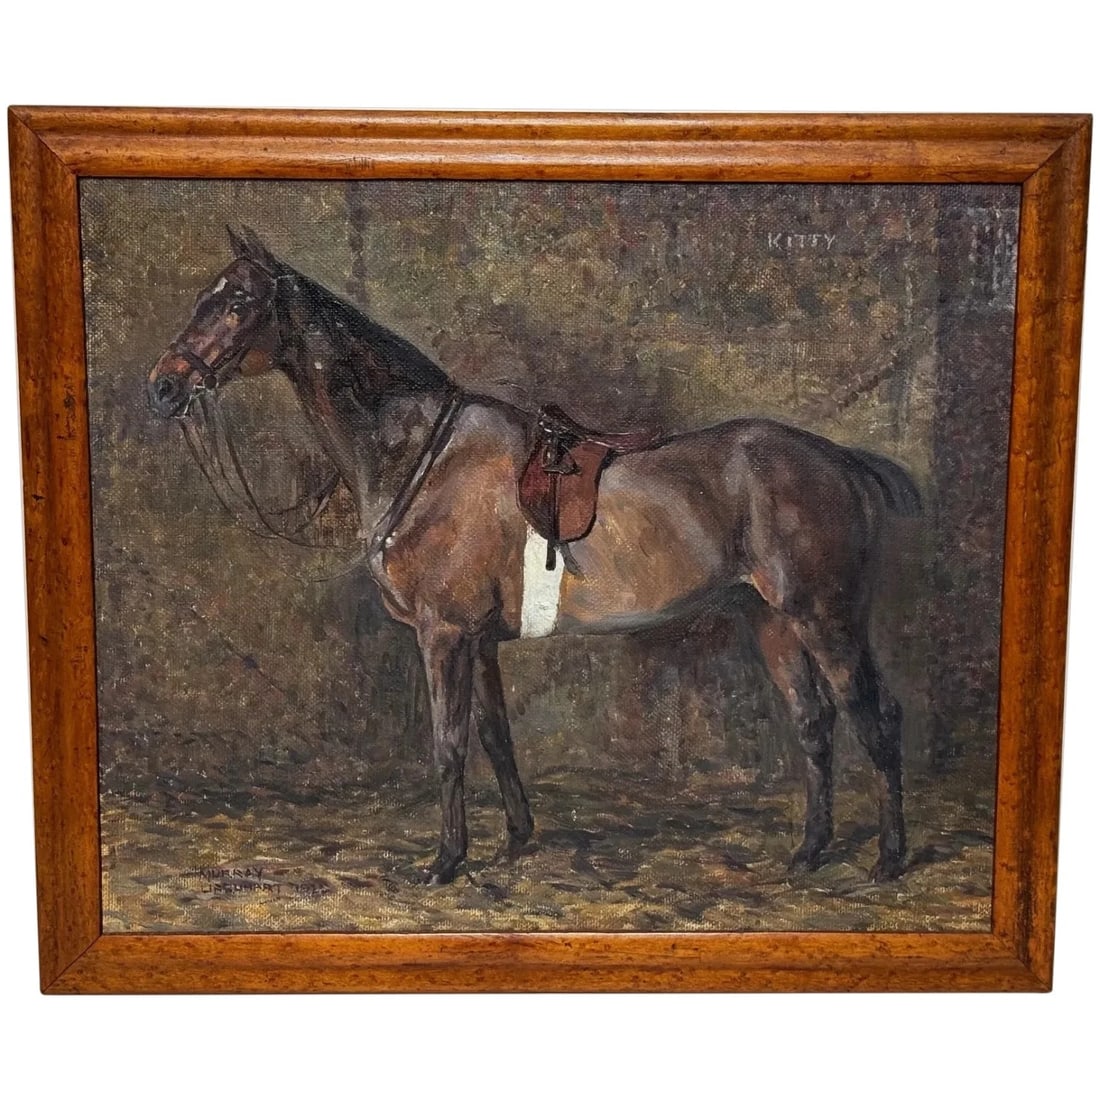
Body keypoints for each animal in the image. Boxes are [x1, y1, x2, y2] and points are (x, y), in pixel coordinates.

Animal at [146, 227, 922, 884]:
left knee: (874, 719)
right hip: (772, 620)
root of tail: (842, 461)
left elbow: (449, 744)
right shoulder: (480, 640)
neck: (422, 456)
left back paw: (888, 859)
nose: (163, 384)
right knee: (814, 726)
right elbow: (495, 736)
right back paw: (809, 853)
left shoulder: (444, 635)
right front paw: (517, 838)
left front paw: (446, 861)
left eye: (238, 301)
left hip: (825, 619)